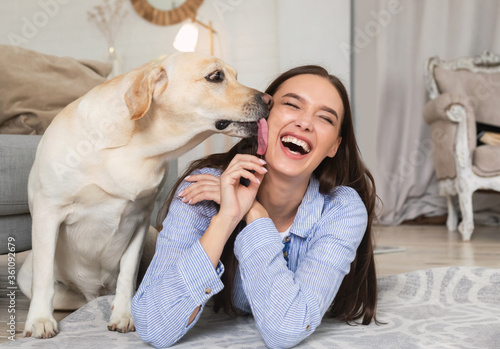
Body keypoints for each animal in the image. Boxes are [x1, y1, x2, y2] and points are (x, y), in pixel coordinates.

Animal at [18, 51, 270, 338]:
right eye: (216, 76)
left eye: (236, 75)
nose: (269, 100)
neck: (137, 147)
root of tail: (94, 292)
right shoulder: (48, 212)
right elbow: (45, 276)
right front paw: (39, 320)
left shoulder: (139, 218)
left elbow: (128, 274)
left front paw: (124, 314)